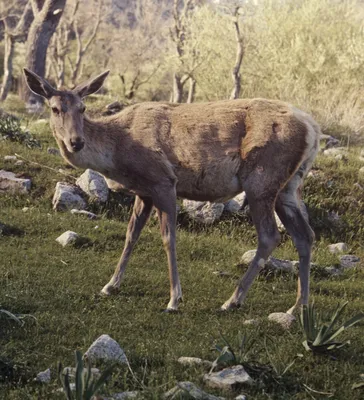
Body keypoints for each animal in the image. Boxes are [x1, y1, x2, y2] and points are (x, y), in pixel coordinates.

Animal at [22, 68, 320, 312]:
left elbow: (168, 237)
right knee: (305, 235)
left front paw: (174, 299)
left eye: (83, 108)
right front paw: (110, 285)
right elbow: (131, 234)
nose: (76, 141)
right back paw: (298, 307)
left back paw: (233, 300)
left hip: (262, 178)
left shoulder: (162, 179)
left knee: (270, 236)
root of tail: (313, 129)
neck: (117, 154)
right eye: (55, 108)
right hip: (289, 186)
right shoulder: (143, 190)